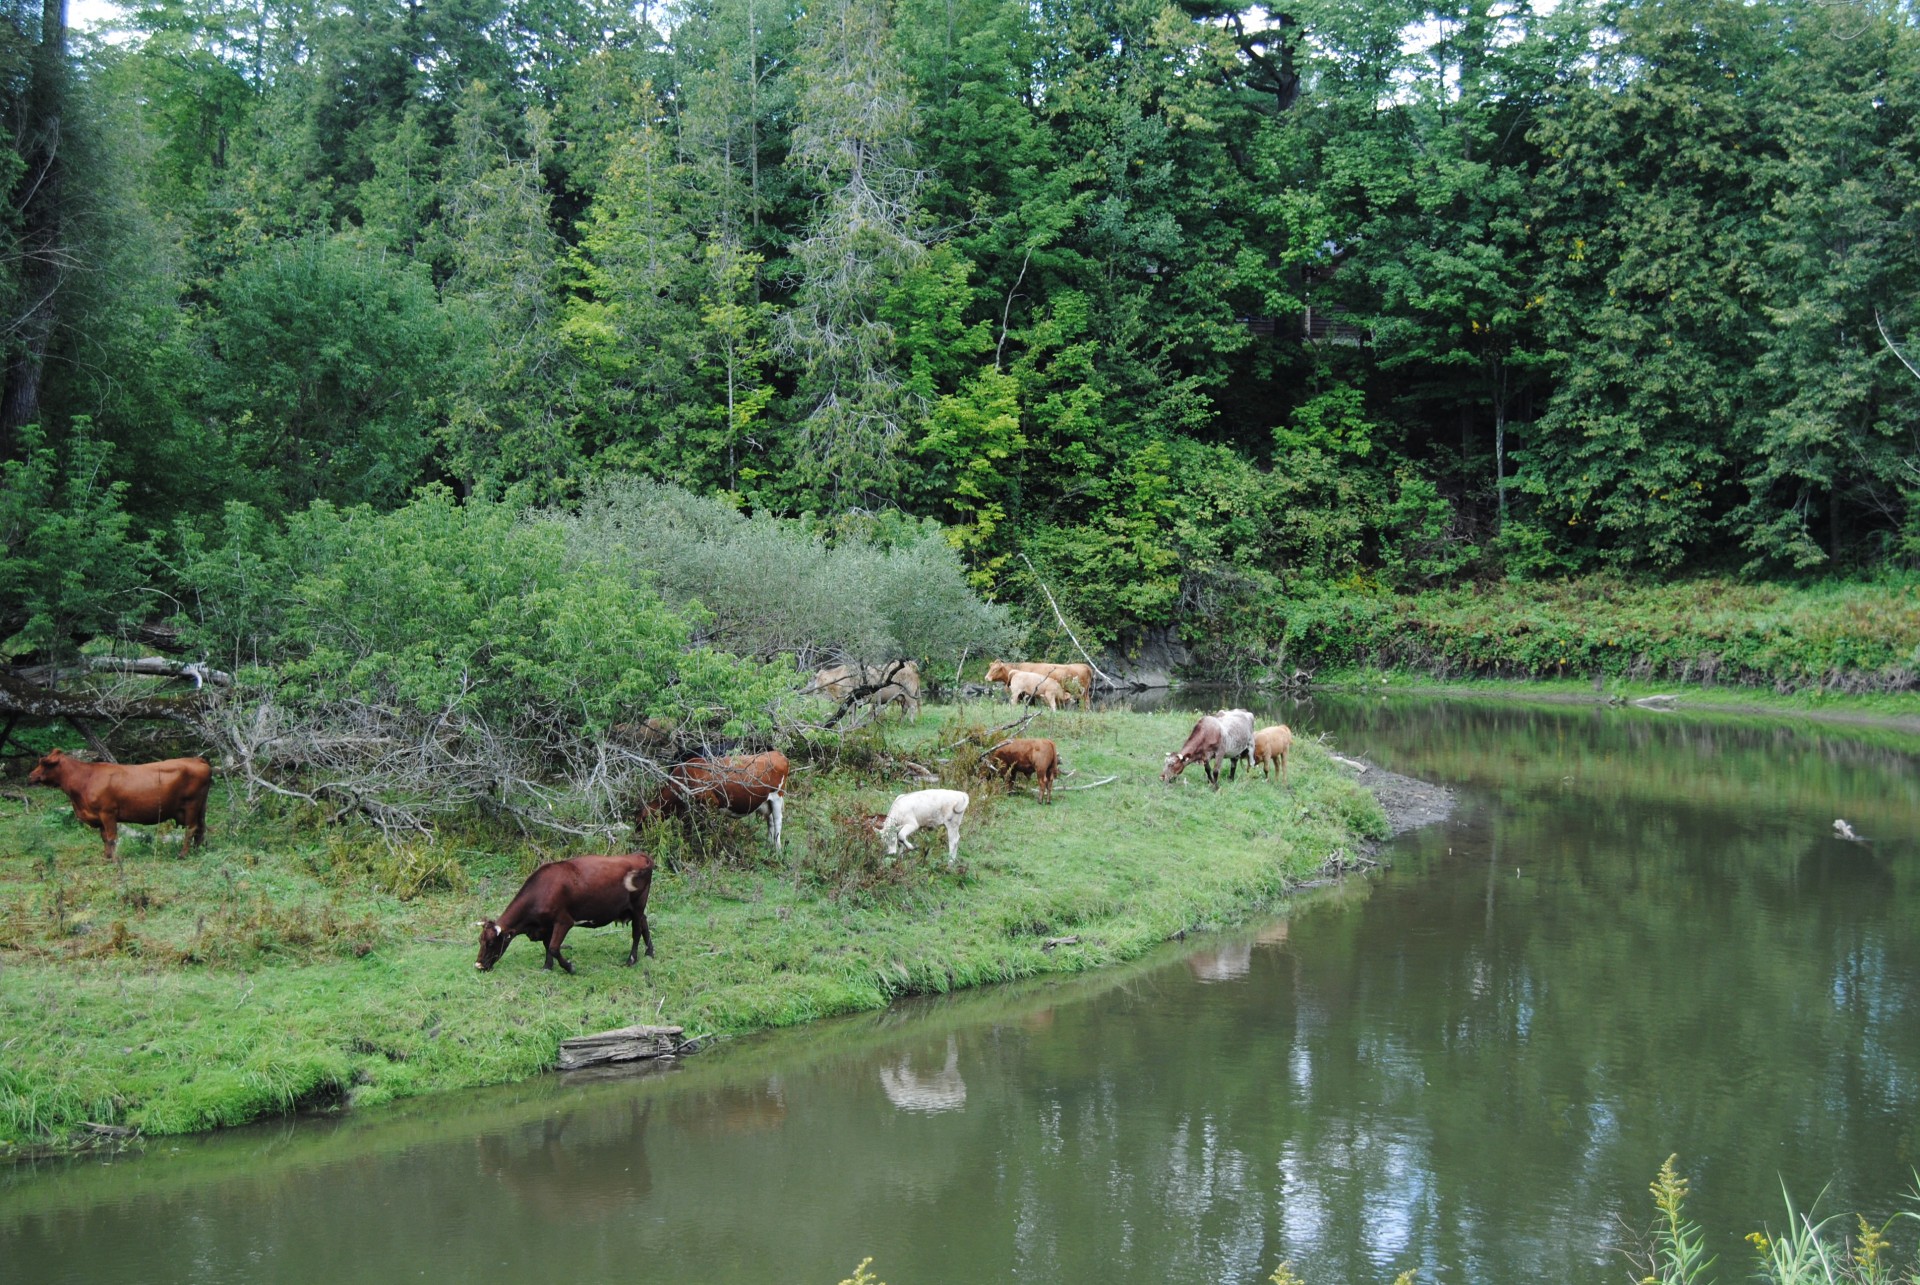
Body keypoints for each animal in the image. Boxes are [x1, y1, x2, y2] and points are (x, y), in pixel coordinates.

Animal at [27, 741, 210, 860]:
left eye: (44, 763)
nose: (30, 776)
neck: (86, 779)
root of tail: (197, 759)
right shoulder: (99, 817)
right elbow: (104, 838)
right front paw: (106, 857)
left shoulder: (108, 813)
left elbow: (111, 837)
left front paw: (115, 860)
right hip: (200, 807)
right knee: (200, 828)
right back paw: (196, 851)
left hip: (191, 805)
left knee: (191, 829)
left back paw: (183, 854)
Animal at [476, 852, 656, 971]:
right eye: (480, 940)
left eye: (491, 943)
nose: (478, 965)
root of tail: (639, 855)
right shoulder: (546, 925)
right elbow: (547, 945)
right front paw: (547, 966)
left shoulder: (564, 921)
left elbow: (554, 947)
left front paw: (569, 967)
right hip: (635, 909)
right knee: (645, 922)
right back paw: (650, 952)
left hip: (637, 906)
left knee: (636, 931)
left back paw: (631, 960)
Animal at [637, 745, 787, 845]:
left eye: (643, 821)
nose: (637, 836)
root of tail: (776, 753)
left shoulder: (710, 804)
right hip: (766, 801)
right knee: (770, 821)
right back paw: (769, 844)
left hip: (777, 797)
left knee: (778, 822)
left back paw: (777, 849)